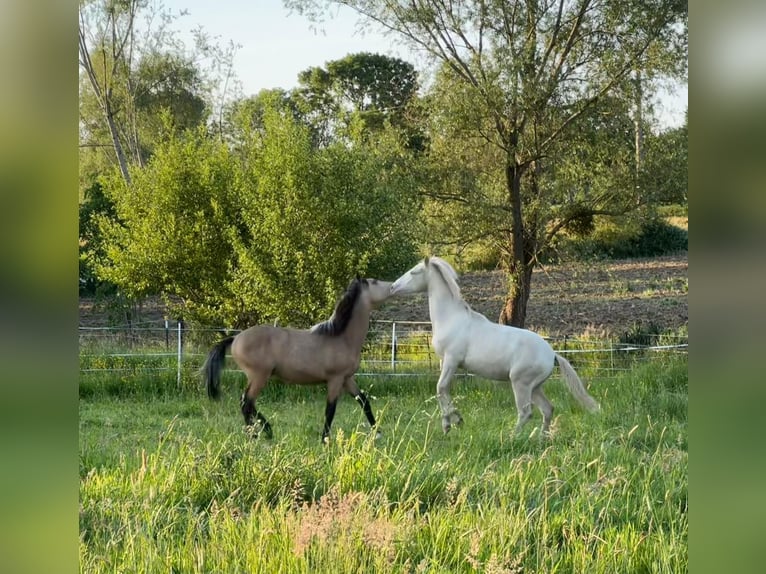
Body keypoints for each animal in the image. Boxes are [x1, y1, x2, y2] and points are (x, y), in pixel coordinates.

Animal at [203, 277, 392, 443]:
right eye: (375, 282)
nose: (392, 286)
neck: (341, 338)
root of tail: (235, 338)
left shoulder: (347, 379)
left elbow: (364, 401)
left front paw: (378, 433)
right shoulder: (335, 380)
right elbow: (330, 410)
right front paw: (325, 439)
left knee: (248, 403)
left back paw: (266, 431)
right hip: (259, 376)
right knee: (246, 402)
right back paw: (255, 435)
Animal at [389, 256, 599, 437]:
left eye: (414, 272)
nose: (392, 287)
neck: (451, 318)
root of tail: (553, 354)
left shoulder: (451, 360)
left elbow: (440, 388)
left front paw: (453, 422)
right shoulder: (445, 362)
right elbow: (444, 391)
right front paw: (450, 423)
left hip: (521, 384)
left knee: (526, 412)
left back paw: (511, 437)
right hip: (535, 387)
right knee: (547, 409)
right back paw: (542, 439)